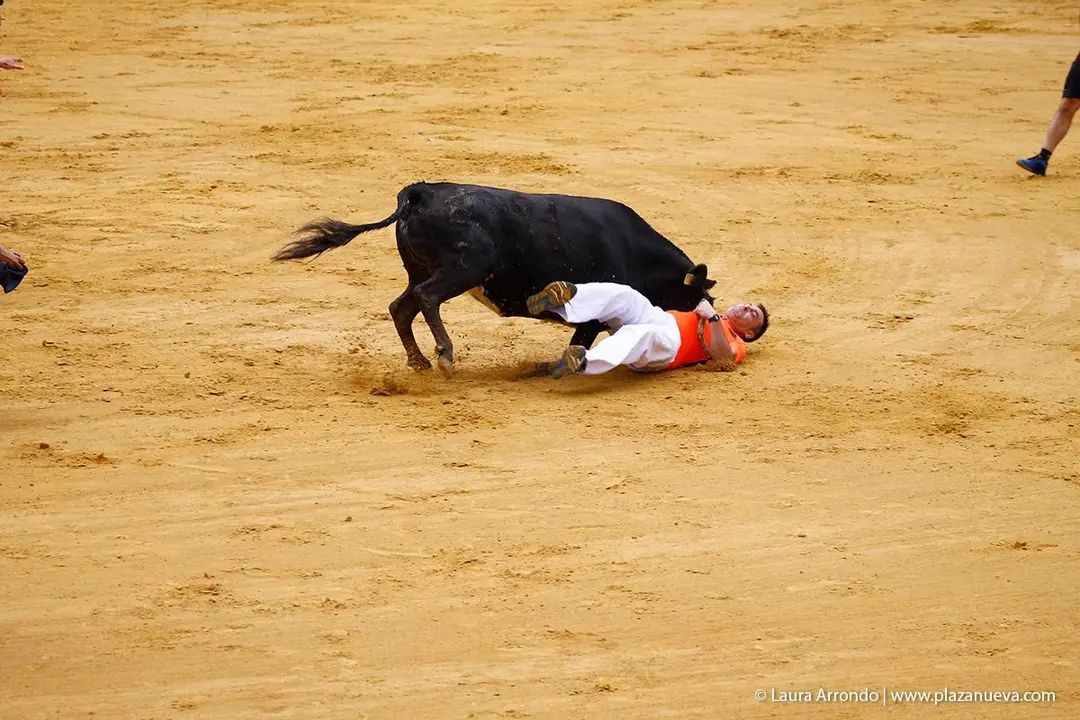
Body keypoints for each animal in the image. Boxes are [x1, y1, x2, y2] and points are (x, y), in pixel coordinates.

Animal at [272, 182, 717, 376]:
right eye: (693, 298)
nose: (713, 319)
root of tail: (419, 192)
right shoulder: (593, 318)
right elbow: (580, 339)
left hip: (422, 269)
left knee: (402, 306)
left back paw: (420, 362)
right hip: (465, 267)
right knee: (427, 298)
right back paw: (445, 355)